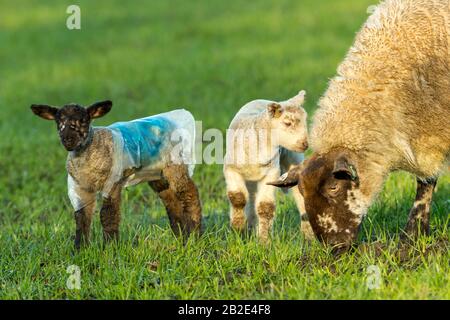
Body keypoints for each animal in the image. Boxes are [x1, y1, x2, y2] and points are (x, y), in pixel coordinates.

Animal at [268, 0, 450, 251]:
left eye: (334, 187)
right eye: (302, 191)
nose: (334, 248)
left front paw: (411, 235)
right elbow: (426, 182)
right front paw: (414, 236)